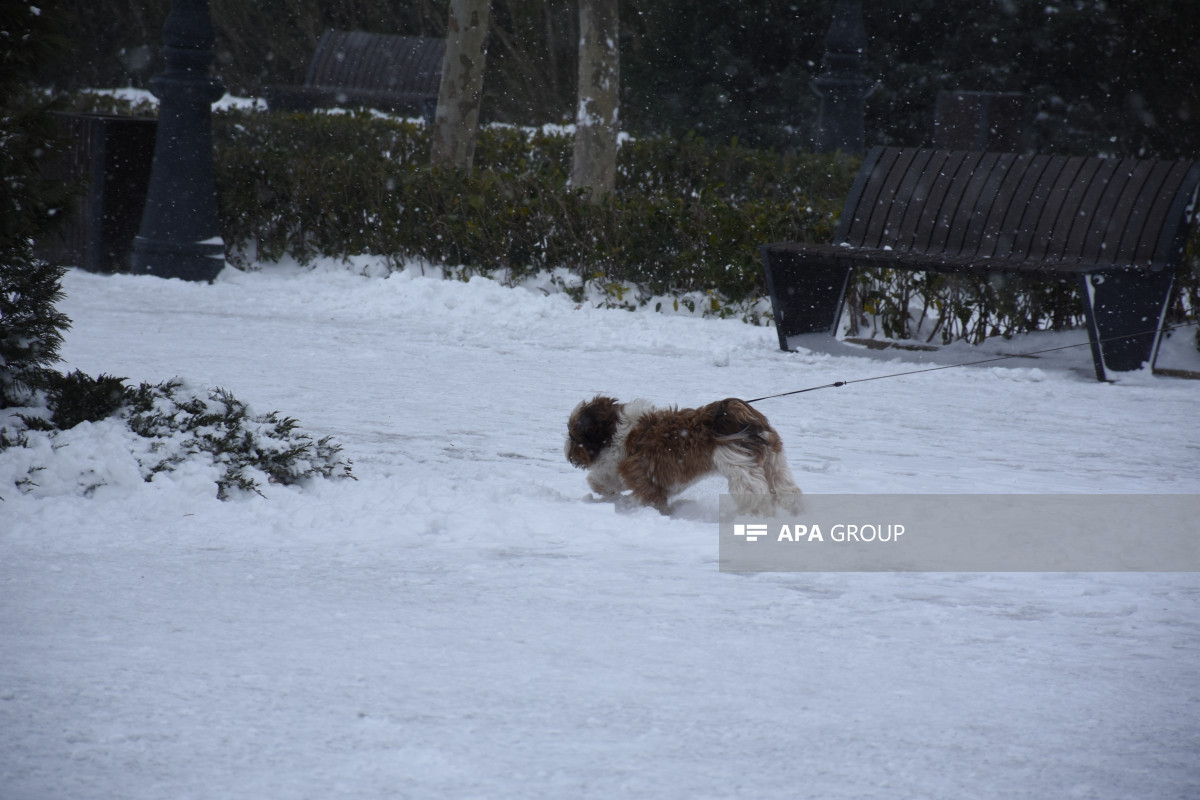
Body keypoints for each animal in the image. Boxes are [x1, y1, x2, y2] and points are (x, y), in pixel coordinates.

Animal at [564, 398, 806, 515]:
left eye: (572, 435)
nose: (567, 451)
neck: (616, 431)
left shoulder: (637, 471)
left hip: (739, 466)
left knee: (756, 494)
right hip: (773, 460)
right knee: (786, 488)